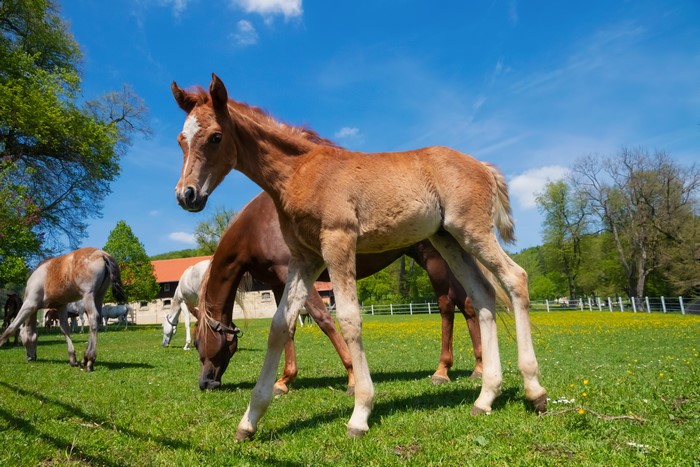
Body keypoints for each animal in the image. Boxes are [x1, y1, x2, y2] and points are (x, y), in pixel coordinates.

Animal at [192, 190, 494, 394]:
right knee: (467, 304)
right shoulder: (280, 283)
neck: (258, 225)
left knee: (447, 305)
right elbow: (287, 328)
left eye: (197, 343)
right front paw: (284, 381)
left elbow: (324, 320)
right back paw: (478, 368)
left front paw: (351, 377)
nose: (205, 382)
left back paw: (443, 371)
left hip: (433, 259)